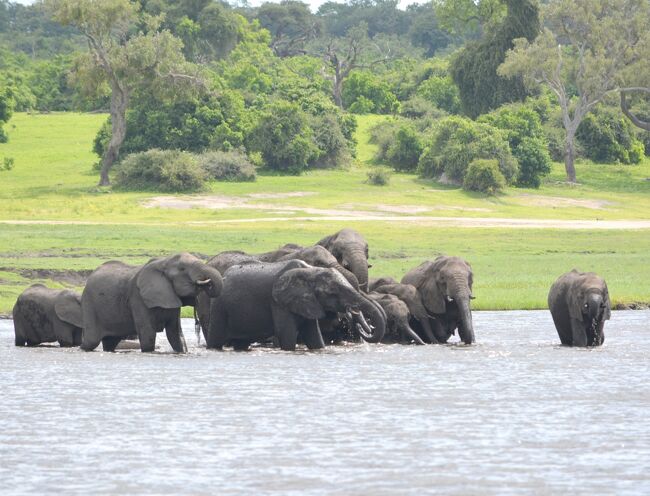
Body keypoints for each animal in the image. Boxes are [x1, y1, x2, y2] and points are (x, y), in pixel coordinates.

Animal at [80, 252, 223, 352]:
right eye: (182, 269)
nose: (207, 283)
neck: (164, 261)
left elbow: (175, 334)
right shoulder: (137, 297)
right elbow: (148, 334)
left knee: (110, 342)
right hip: (89, 304)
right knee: (91, 341)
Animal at [205, 260, 382, 352]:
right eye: (333, 292)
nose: (352, 311)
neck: (311, 271)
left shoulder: (308, 302)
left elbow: (314, 337)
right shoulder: (278, 302)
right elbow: (287, 335)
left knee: (241, 343)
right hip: (219, 307)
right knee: (216, 339)